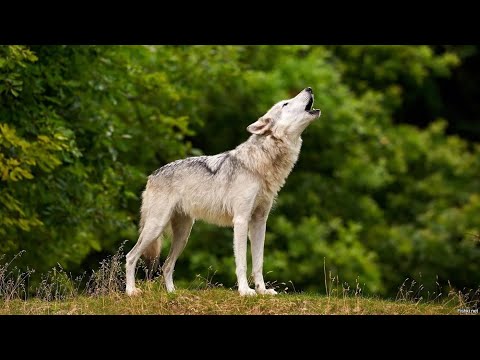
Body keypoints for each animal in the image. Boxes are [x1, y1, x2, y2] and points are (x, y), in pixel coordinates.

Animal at [126, 86, 322, 296]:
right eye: (285, 103)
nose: (309, 88)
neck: (262, 164)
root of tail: (152, 175)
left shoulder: (260, 222)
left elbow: (258, 263)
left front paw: (262, 291)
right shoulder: (241, 220)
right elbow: (242, 262)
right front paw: (245, 291)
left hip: (183, 235)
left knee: (167, 265)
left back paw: (172, 293)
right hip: (156, 228)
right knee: (131, 257)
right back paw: (131, 291)